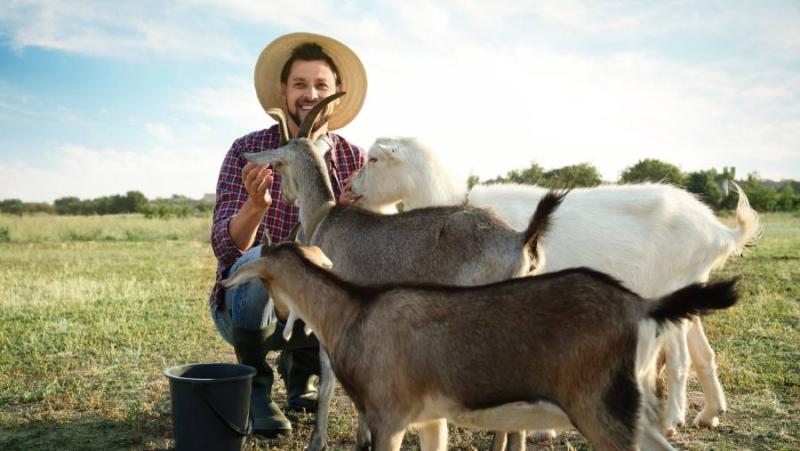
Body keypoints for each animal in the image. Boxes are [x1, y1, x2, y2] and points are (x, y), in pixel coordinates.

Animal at [350, 137, 764, 434]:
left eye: (374, 159)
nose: (350, 187)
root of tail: (717, 230)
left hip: (674, 284)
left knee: (679, 358)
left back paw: (672, 420)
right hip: (693, 285)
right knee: (702, 352)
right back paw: (709, 413)